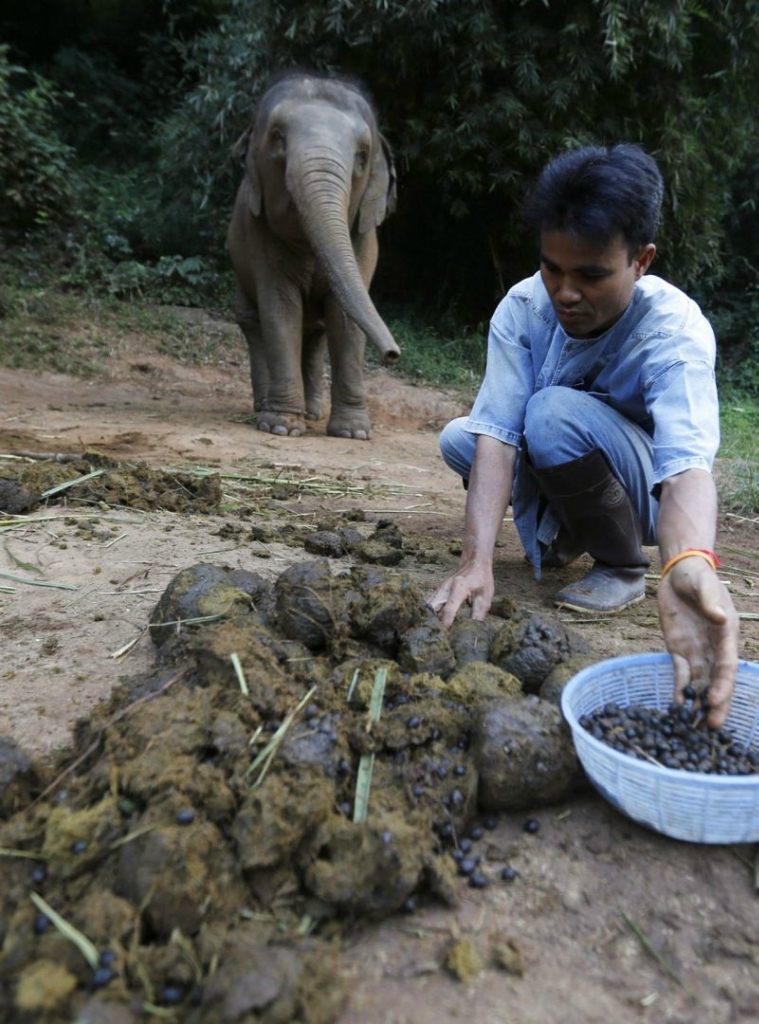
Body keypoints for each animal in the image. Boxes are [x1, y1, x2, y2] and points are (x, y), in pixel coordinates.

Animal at [226, 70, 399, 438]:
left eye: (363, 155)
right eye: (277, 138)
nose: (392, 354)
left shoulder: (363, 239)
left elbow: (344, 317)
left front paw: (353, 433)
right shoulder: (259, 235)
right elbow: (280, 308)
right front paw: (281, 427)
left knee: (317, 333)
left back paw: (314, 412)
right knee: (253, 322)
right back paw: (266, 406)